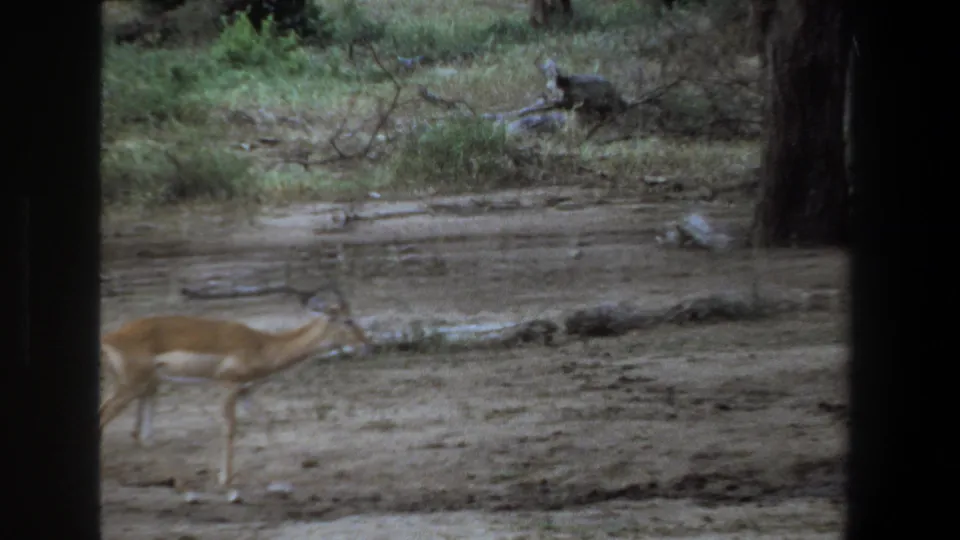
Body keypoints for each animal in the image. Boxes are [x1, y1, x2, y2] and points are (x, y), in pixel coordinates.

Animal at [98, 289, 373, 487]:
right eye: (348, 320)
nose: (366, 345)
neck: (262, 345)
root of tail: (110, 337)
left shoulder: (246, 391)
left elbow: (266, 423)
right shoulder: (229, 386)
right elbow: (230, 429)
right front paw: (225, 480)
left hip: (140, 387)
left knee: (140, 433)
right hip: (130, 388)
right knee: (108, 421)